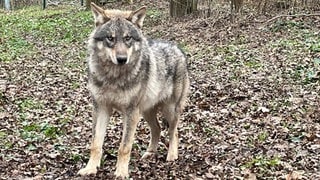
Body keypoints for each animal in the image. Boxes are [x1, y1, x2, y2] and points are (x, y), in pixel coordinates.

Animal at [78, 2, 190, 179]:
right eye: (110, 38)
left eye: (127, 38)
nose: (122, 59)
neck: (113, 78)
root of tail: (178, 48)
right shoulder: (101, 108)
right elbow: (95, 144)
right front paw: (90, 168)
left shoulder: (130, 112)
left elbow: (124, 147)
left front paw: (121, 173)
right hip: (145, 111)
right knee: (157, 129)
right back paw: (149, 154)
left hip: (168, 110)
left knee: (174, 132)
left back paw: (172, 155)